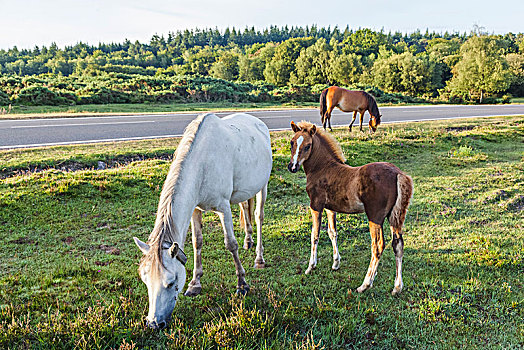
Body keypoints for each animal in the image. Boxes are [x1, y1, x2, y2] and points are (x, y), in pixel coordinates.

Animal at [133, 113, 272, 330]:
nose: (154, 323)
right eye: (145, 281)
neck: (203, 164)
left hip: (262, 186)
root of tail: (258, 122)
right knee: (244, 207)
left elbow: (230, 244)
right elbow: (197, 242)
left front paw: (242, 284)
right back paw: (248, 241)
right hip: (243, 191)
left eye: (171, 283)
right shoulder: (195, 209)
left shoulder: (223, 207)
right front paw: (195, 283)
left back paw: (259, 257)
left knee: (258, 216)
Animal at [286, 121, 414, 296]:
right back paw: (397, 287)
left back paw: (365, 284)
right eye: (292, 142)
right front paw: (335, 263)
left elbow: (314, 235)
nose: (292, 167)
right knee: (398, 244)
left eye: (308, 146)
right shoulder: (330, 208)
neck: (322, 168)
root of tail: (398, 173)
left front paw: (310, 267)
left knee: (378, 246)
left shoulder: (316, 205)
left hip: (375, 216)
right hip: (395, 216)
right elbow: (332, 232)